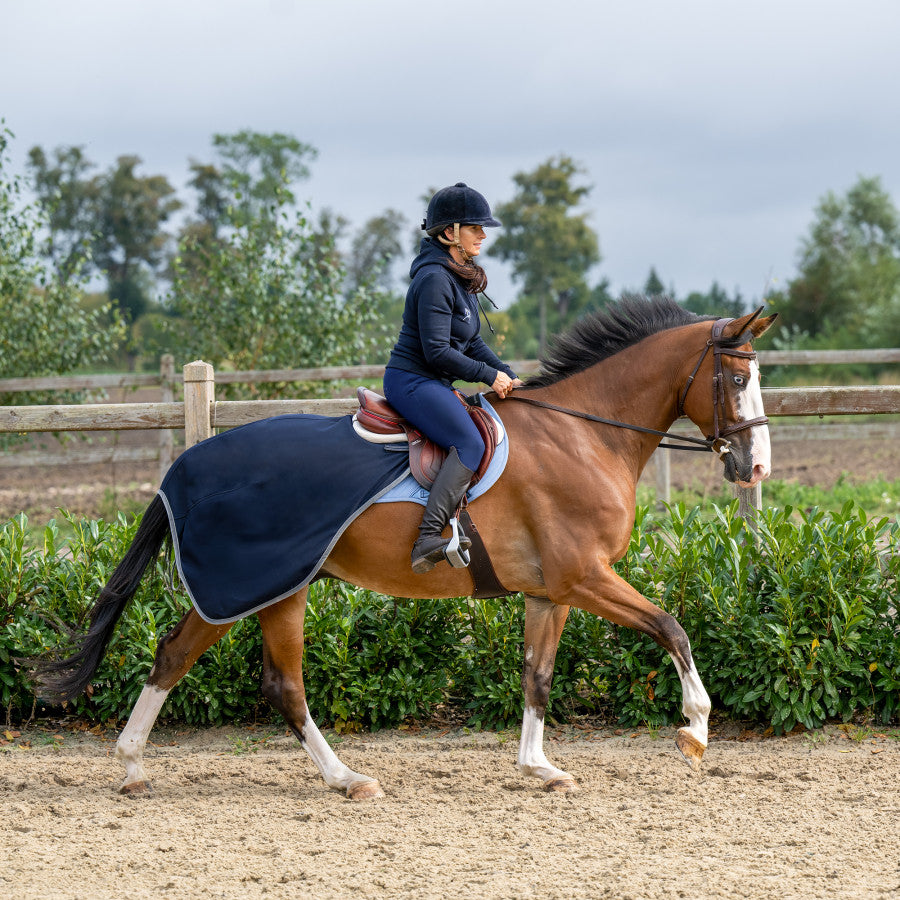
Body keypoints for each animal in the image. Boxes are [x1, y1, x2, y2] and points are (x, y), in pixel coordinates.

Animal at [34, 296, 777, 800]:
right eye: (738, 380)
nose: (756, 469)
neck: (583, 435)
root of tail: (185, 466)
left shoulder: (552, 592)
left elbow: (536, 676)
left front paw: (539, 767)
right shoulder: (585, 577)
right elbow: (672, 627)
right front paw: (696, 729)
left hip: (268, 589)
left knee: (181, 656)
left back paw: (134, 766)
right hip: (262, 587)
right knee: (279, 684)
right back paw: (347, 779)